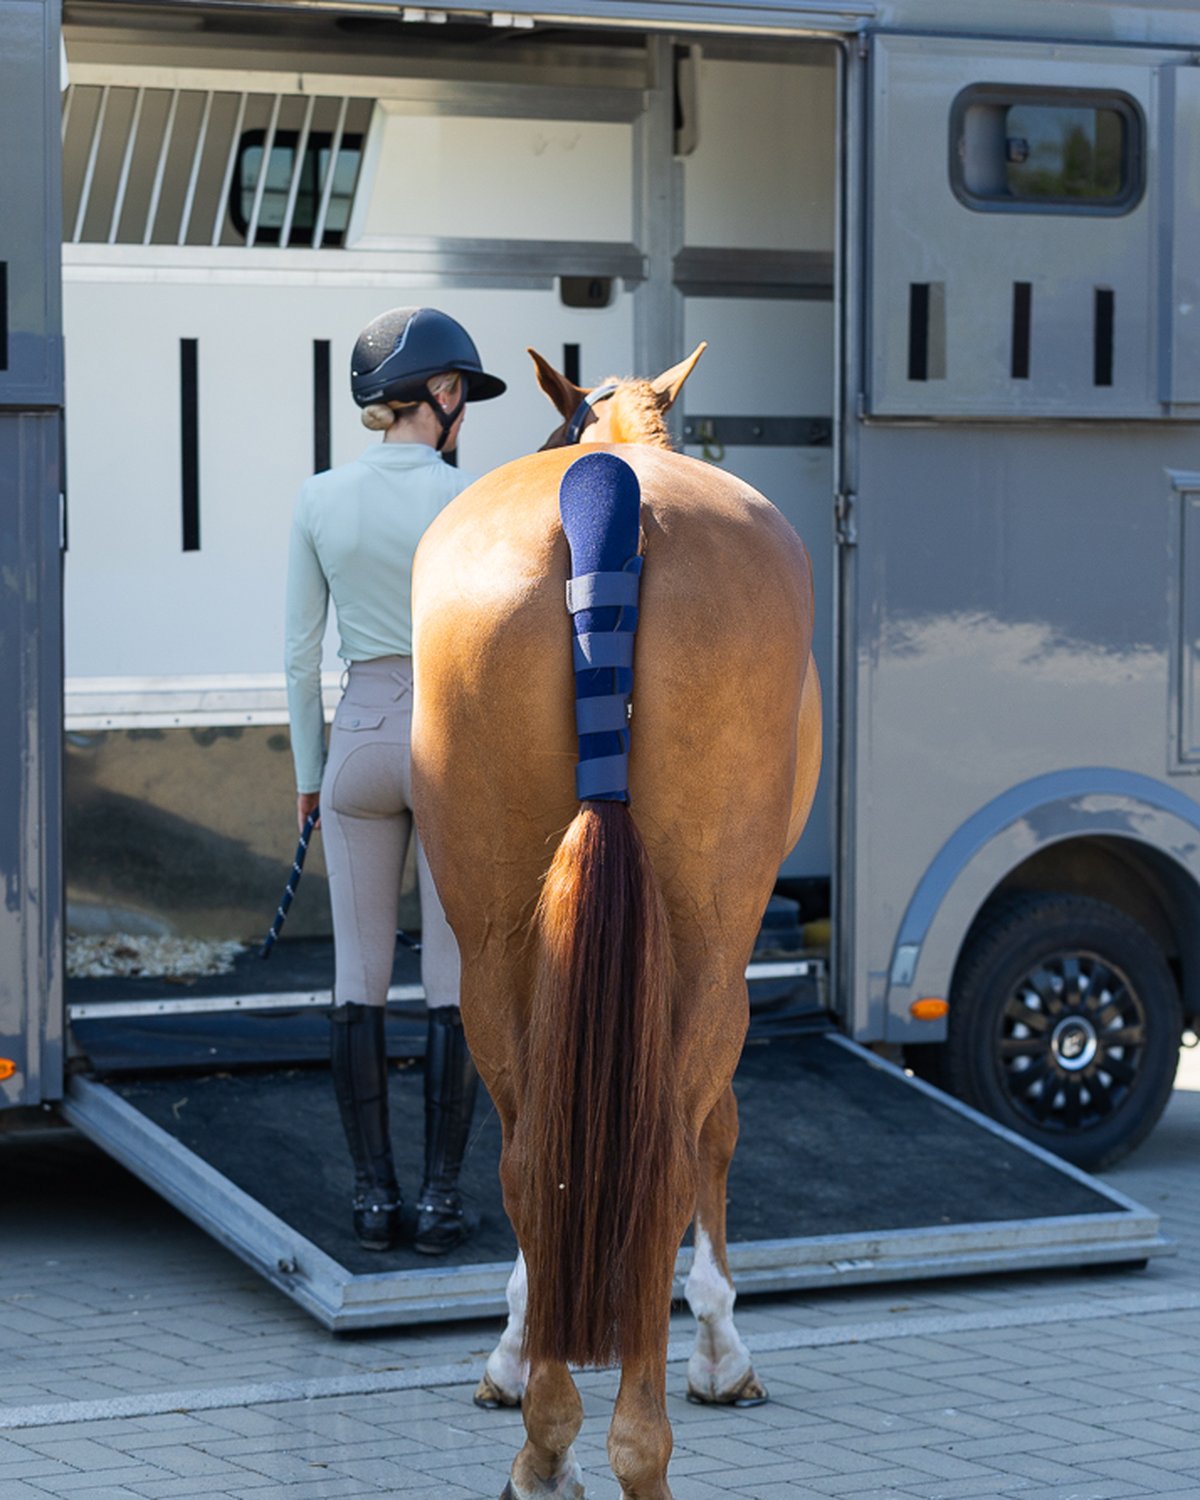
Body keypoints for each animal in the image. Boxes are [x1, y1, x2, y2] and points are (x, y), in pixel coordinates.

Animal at [411, 346, 822, 1500]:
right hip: (712, 953)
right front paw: (723, 1350)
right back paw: (618, 1447)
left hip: (496, 945)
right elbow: (719, 1132)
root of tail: (609, 506)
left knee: (532, 1160)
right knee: (667, 1157)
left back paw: (552, 1441)